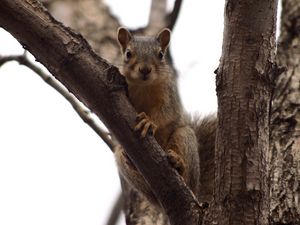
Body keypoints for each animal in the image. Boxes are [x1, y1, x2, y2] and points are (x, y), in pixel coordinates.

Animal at [113, 27, 216, 207]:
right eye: (128, 53)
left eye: (161, 54)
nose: (145, 70)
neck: (144, 86)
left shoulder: (169, 94)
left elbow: (165, 113)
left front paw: (149, 121)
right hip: (121, 158)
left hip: (185, 136)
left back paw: (178, 164)